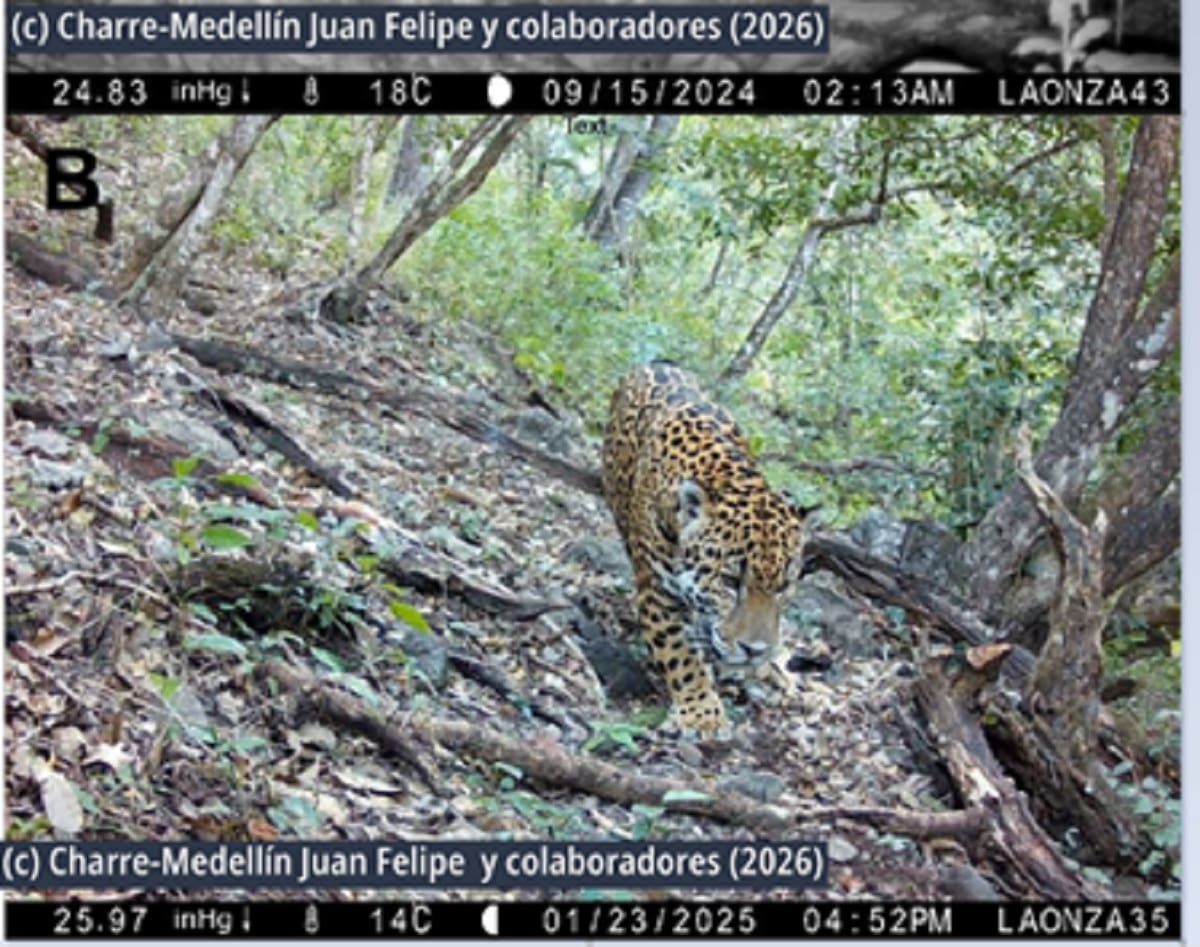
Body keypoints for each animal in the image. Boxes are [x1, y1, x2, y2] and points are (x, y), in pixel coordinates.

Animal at [601, 361, 809, 735]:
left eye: (784, 586)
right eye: (729, 580)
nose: (755, 650)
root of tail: (656, 363)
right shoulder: (657, 591)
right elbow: (680, 654)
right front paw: (702, 714)